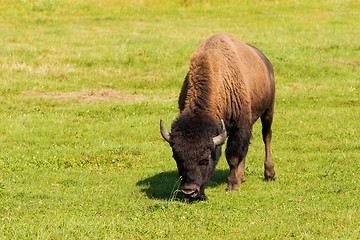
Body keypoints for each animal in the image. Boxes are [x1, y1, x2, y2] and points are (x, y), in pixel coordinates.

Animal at [160, 32, 276, 200]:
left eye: (205, 159)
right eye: (176, 157)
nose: (189, 191)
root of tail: (265, 61)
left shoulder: (239, 126)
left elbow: (233, 156)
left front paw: (232, 186)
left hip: (268, 110)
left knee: (266, 136)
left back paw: (269, 174)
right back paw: (242, 177)